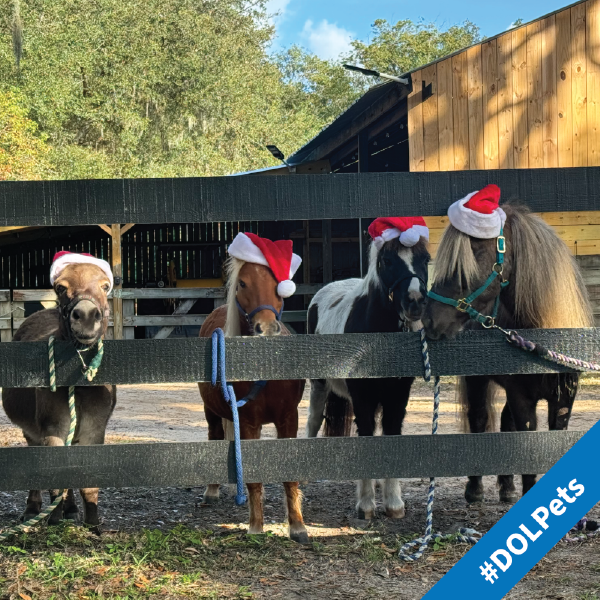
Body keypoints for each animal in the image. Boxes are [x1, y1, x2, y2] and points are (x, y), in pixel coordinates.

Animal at [198, 258, 310, 544]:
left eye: (278, 284)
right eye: (242, 283)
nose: (266, 328)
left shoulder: (288, 419)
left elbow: (289, 476)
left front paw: (298, 526)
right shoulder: (248, 422)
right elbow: (252, 478)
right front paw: (256, 526)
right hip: (211, 412)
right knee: (214, 436)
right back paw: (212, 491)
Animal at [308, 236, 428, 520]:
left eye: (426, 259)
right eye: (388, 260)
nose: (415, 301)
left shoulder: (397, 397)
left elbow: (390, 433)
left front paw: (394, 503)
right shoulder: (363, 397)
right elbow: (365, 432)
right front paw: (365, 505)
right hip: (319, 385)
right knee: (313, 420)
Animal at [424, 204, 592, 504]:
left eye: (476, 252)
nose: (429, 320)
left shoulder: (564, 401)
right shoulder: (521, 397)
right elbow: (526, 451)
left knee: (504, 422)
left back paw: (506, 486)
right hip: (478, 382)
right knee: (479, 419)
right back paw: (475, 488)